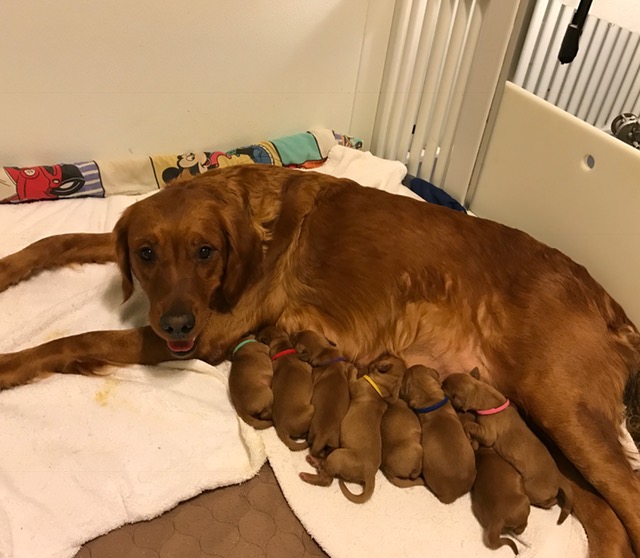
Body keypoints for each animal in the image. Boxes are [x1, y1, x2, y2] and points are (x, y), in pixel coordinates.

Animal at [292, 330, 352, 458]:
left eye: (295, 339)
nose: (293, 332)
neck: (324, 351)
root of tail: (322, 437)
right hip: (334, 442)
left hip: (311, 432)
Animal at [300, 356, 404, 506]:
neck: (383, 388)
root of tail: (370, 475)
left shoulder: (355, 385)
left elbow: (352, 378)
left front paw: (354, 368)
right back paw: (314, 462)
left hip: (339, 456)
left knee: (327, 479)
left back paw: (307, 475)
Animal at [442, 372, 572, 524]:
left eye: (444, 388)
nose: (440, 382)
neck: (484, 392)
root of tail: (559, 476)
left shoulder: (488, 434)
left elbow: (471, 426)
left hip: (533, 489)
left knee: (550, 501)